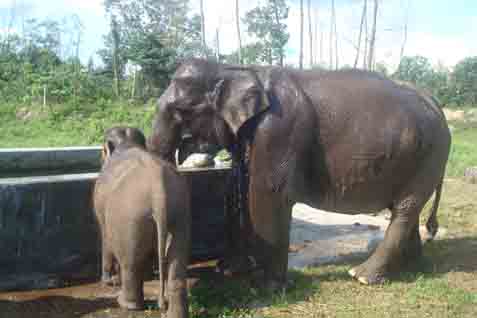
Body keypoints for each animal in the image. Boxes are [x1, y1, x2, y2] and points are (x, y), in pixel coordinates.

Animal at [93, 125, 190, 316]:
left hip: (129, 218)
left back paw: (126, 304)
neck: (127, 144)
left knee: (130, 263)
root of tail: (158, 189)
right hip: (180, 213)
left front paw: (108, 281)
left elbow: (104, 236)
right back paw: (174, 313)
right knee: (177, 261)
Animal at [148, 58, 450, 286]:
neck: (235, 68)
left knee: (405, 210)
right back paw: (412, 267)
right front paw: (232, 271)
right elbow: (239, 190)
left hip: (431, 155)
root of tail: (436, 102)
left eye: (181, 110)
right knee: (407, 210)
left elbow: (267, 195)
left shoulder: (279, 130)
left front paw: (267, 286)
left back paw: (362, 276)